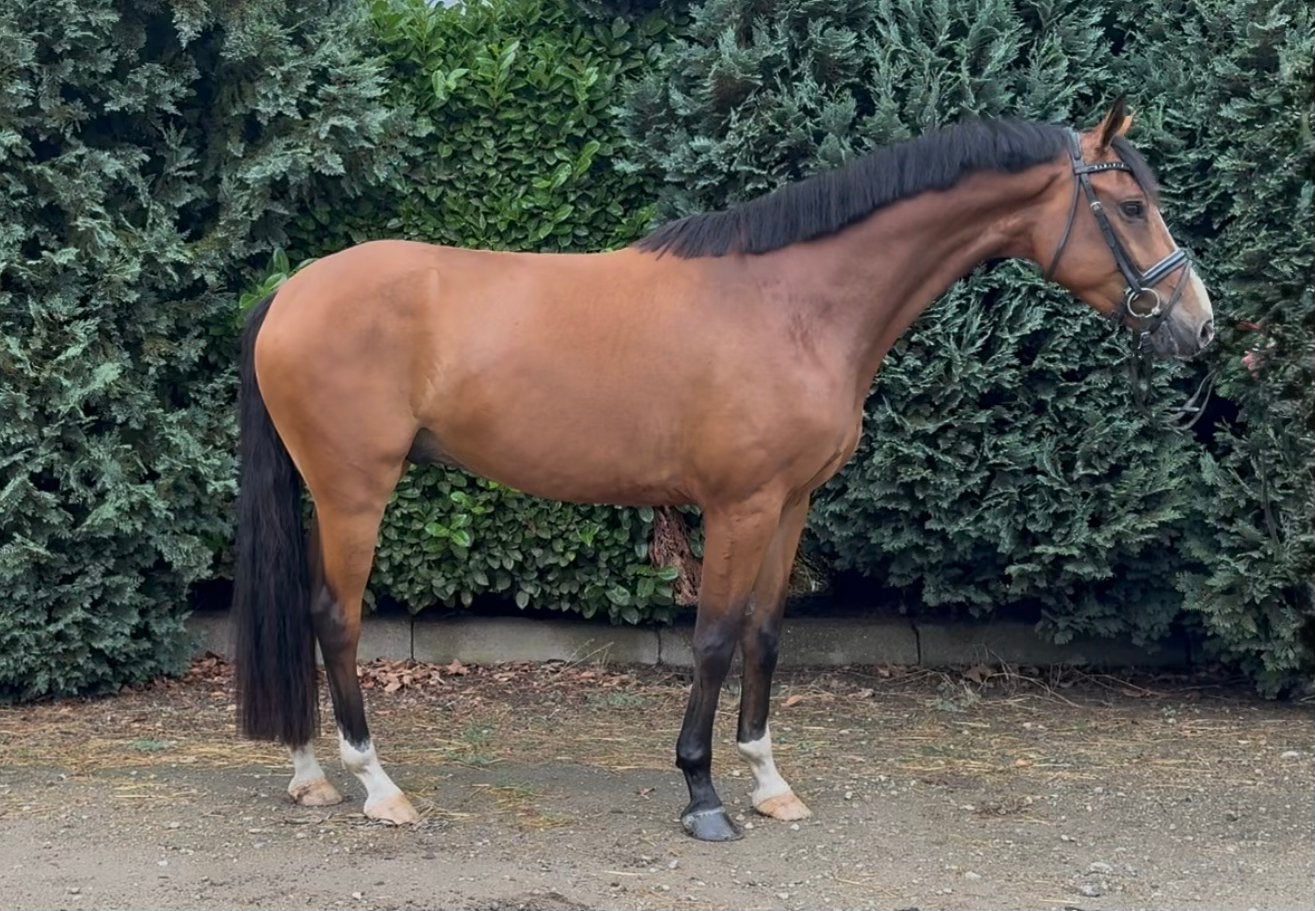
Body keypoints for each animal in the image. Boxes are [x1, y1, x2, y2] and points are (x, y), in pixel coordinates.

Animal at [232, 99, 1214, 841]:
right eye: (1130, 207)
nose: (1196, 324)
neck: (792, 303)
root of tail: (290, 289)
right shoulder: (738, 505)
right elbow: (712, 636)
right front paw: (703, 794)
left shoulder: (790, 503)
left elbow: (765, 634)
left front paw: (769, 780)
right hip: (356, 492)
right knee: (335, 618)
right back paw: (377, 784)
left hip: (326, 494)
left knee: (303, 612)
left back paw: (310, 772)